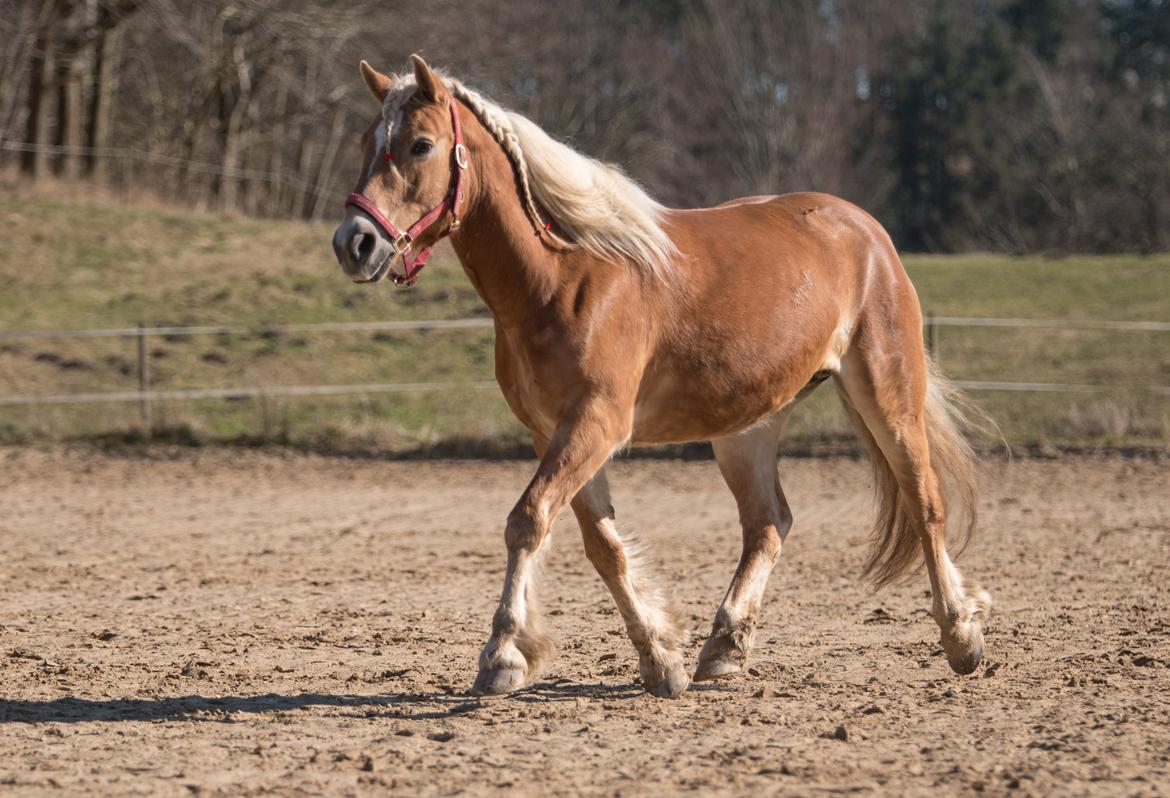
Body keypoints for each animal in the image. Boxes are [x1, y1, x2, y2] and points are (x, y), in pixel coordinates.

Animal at [332, 54, 996, 697]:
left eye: (420, 144)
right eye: (368, 140)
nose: (353, 243)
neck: (565, 275)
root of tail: (865, 229)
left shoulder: (596, 424)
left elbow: (528, 521)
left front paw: (501, 655)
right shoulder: (554, 433)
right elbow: (602, 547)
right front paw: (658, 658)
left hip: (888, 397)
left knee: (925, 503)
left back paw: (961, 637)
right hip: (747, 427)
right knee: (768, 524)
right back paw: (724, 648)